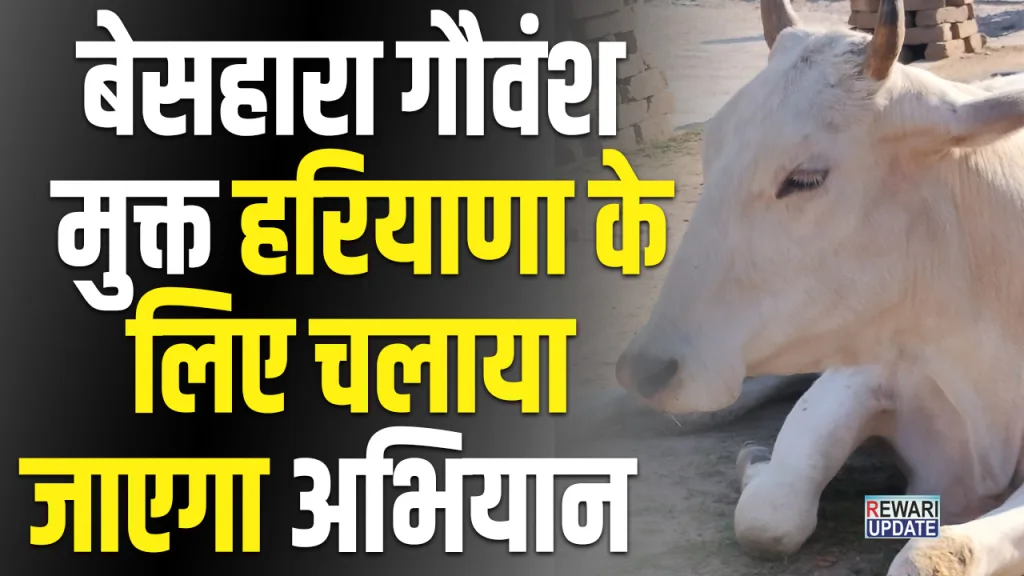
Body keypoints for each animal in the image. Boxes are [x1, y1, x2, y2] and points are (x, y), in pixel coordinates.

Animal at [612, 0, 1024, 574]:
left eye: (805, 179)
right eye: (710, 151)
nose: (647, 369)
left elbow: (931, 553)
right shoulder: (859, 369)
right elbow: (768, 513)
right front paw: (756, 461)